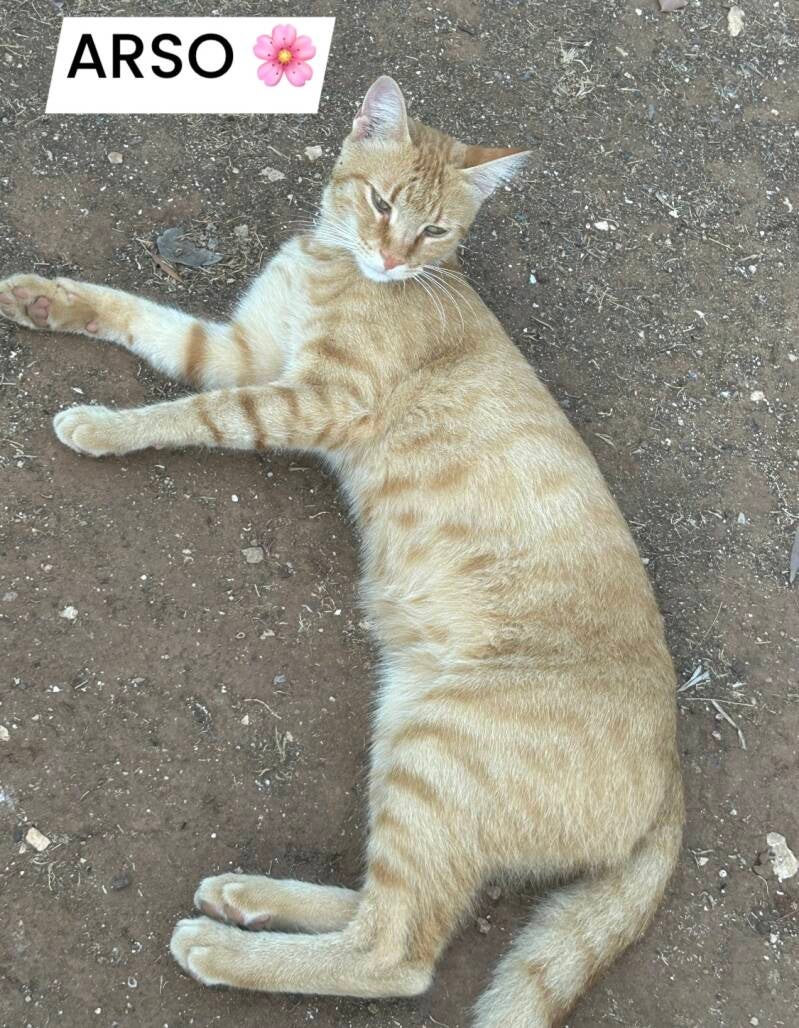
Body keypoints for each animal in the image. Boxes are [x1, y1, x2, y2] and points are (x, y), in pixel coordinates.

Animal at [0, 76, 682, 1028]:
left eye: (435, 233)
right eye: (383, 204)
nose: (393, 260)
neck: (333, 260)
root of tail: (675, 780)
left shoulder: (307, 396)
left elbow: (193, 414)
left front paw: (104, 425)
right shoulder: (242, 349)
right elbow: (144, 318)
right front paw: (44, 300)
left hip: (437, 756)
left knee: (396, 952)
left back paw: (223, 946)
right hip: (402, 735)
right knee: (384, 903)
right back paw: (251, 896)